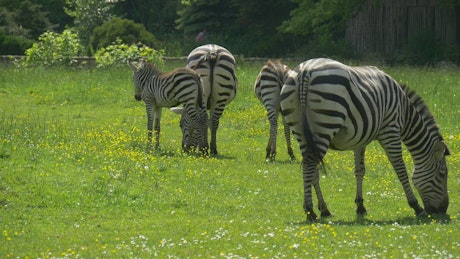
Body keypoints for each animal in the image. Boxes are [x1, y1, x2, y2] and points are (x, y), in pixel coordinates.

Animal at [280, 58, 450, 222]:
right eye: (442, 174)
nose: (443, 209)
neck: (404, 112)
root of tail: (305, 71)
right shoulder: (391, 130)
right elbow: (400, 169)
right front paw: (416, 206)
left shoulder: (360, 138)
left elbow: (360, 170)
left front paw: (360, 206)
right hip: (325, 125)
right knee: (309, 165)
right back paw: (309, 211)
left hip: (301, 132)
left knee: (311, 168)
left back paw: (323, 209)